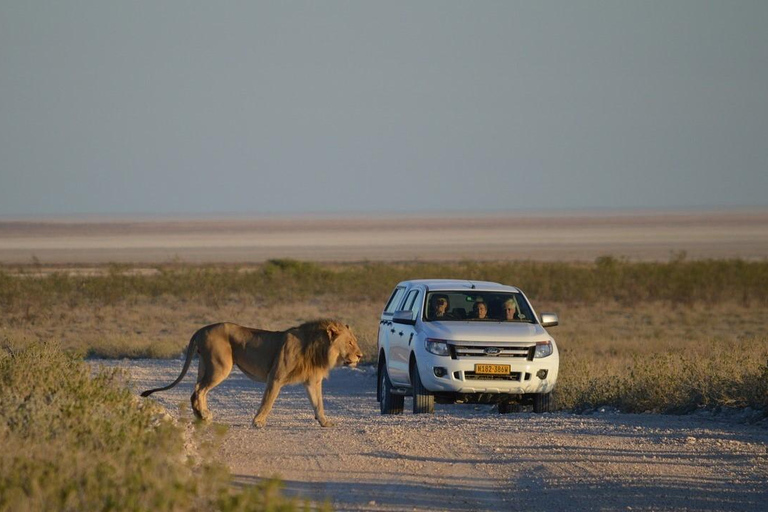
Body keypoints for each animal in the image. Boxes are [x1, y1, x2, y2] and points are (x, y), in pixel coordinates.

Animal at [140, 320, 364, 428]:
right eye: (350, 342)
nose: (361, 355)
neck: (318, 347)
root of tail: (201, 329)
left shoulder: (312, 381)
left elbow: (319, 404)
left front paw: (324, 422)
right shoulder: (276, 376)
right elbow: (268, 401)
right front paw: (258, 422)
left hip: (205, 365)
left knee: (197, 389)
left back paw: (203, 415)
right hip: (220, 366)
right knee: (199, 391)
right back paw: (203, 416)